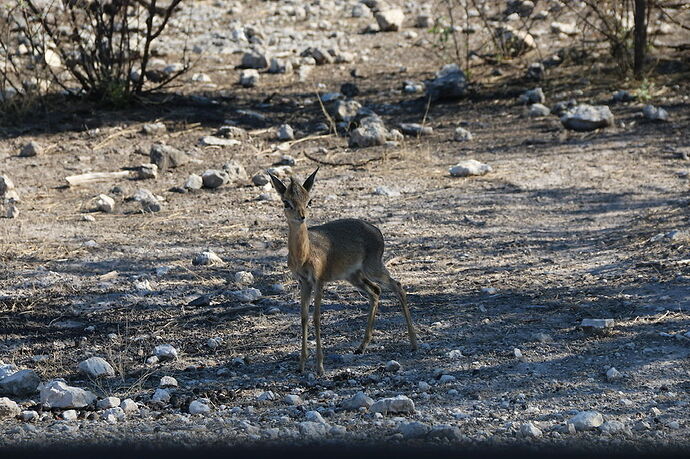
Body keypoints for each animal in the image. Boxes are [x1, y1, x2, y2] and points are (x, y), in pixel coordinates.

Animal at [268, 167, 416, 376]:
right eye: (286, 202)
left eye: (309, 200)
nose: (302, 216)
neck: (304, 254)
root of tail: (377, 231)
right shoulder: (303, 282)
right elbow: (304, 317)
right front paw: (301, 365)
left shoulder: (319, 281)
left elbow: (316, 318)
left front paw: (320, 367)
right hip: (353, 276)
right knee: (376, 291)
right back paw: (361, 347)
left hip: (372, 268)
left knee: (398, 286)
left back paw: (414, 343)